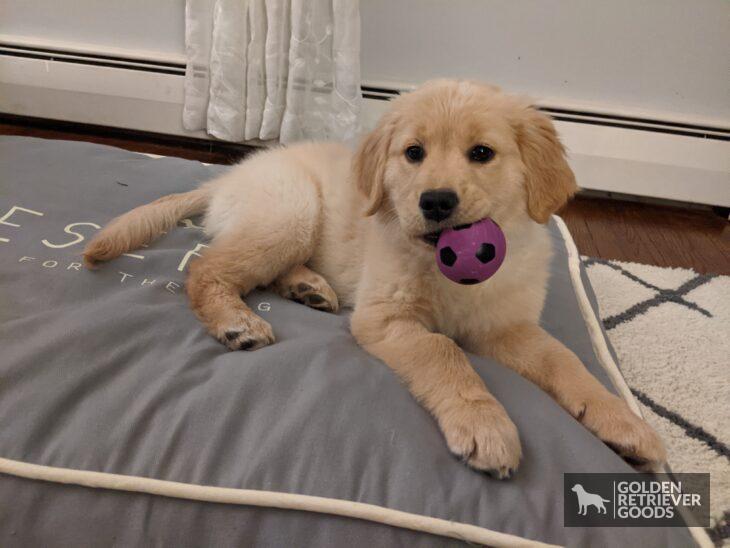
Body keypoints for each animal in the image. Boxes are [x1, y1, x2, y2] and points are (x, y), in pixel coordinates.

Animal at [82, 79, 664, 478]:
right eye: (413, 153)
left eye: (482, 153)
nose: (435, 202)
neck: (445, 273)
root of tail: (229, 176)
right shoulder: (384, 319)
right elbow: (442, 352)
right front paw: (484, 425)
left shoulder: (506, 327)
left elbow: (564, 361)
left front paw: (623, 423)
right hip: (290, 213)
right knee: (208, 268)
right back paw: (237, 322)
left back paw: (309, 288)